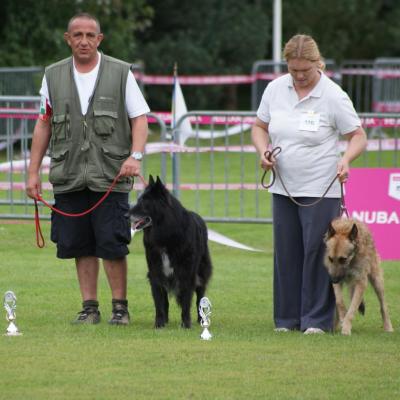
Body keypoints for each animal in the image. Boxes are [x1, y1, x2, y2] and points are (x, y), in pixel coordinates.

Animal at [130, 175, 212, 328]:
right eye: (139, 200)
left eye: (144, 202)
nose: (126, 215)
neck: (166, 234)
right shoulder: (155, 272)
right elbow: (159, 302)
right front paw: (159, 323)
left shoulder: (187, 273)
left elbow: (186, 301)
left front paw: (186, 324)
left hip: (201, 273)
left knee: (200, 296)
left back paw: (201, 319)